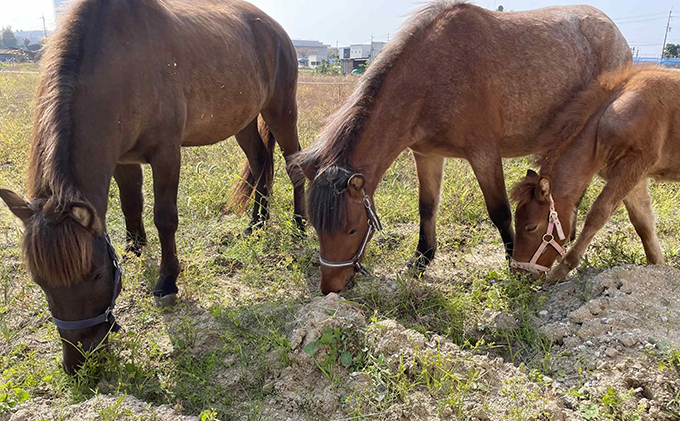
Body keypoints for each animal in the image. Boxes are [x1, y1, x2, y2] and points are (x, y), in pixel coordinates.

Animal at [0, 0, 302, 374]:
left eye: (96, 275)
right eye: (39, 281)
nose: (80, 361)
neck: (120, 63)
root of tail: (276, 30)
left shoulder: (166, 154)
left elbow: (165, 218)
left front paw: (167, 281)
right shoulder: (122, 159)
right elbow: (131, 204)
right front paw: (134, 249)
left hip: (281, 110)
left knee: (294, 165)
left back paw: (299, 227)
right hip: (243, 120)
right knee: (260, 164)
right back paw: (256, 224)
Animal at [294, 0, 632, 294]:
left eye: (352, 230)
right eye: (317, 227)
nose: (331, 287)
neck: (432, 75)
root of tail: (614, 30)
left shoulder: (484, 154)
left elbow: (499, 211)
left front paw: (513, 262)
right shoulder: (427, 154)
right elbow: (427, 206)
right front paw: (421, 260)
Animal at [512, 65, 676, 282]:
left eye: (531, 227)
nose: (519, 274)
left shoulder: (635, 164)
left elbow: (598, 213)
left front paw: (562, 268)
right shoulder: (634, 176)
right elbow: (643, 222)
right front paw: (657, 267)